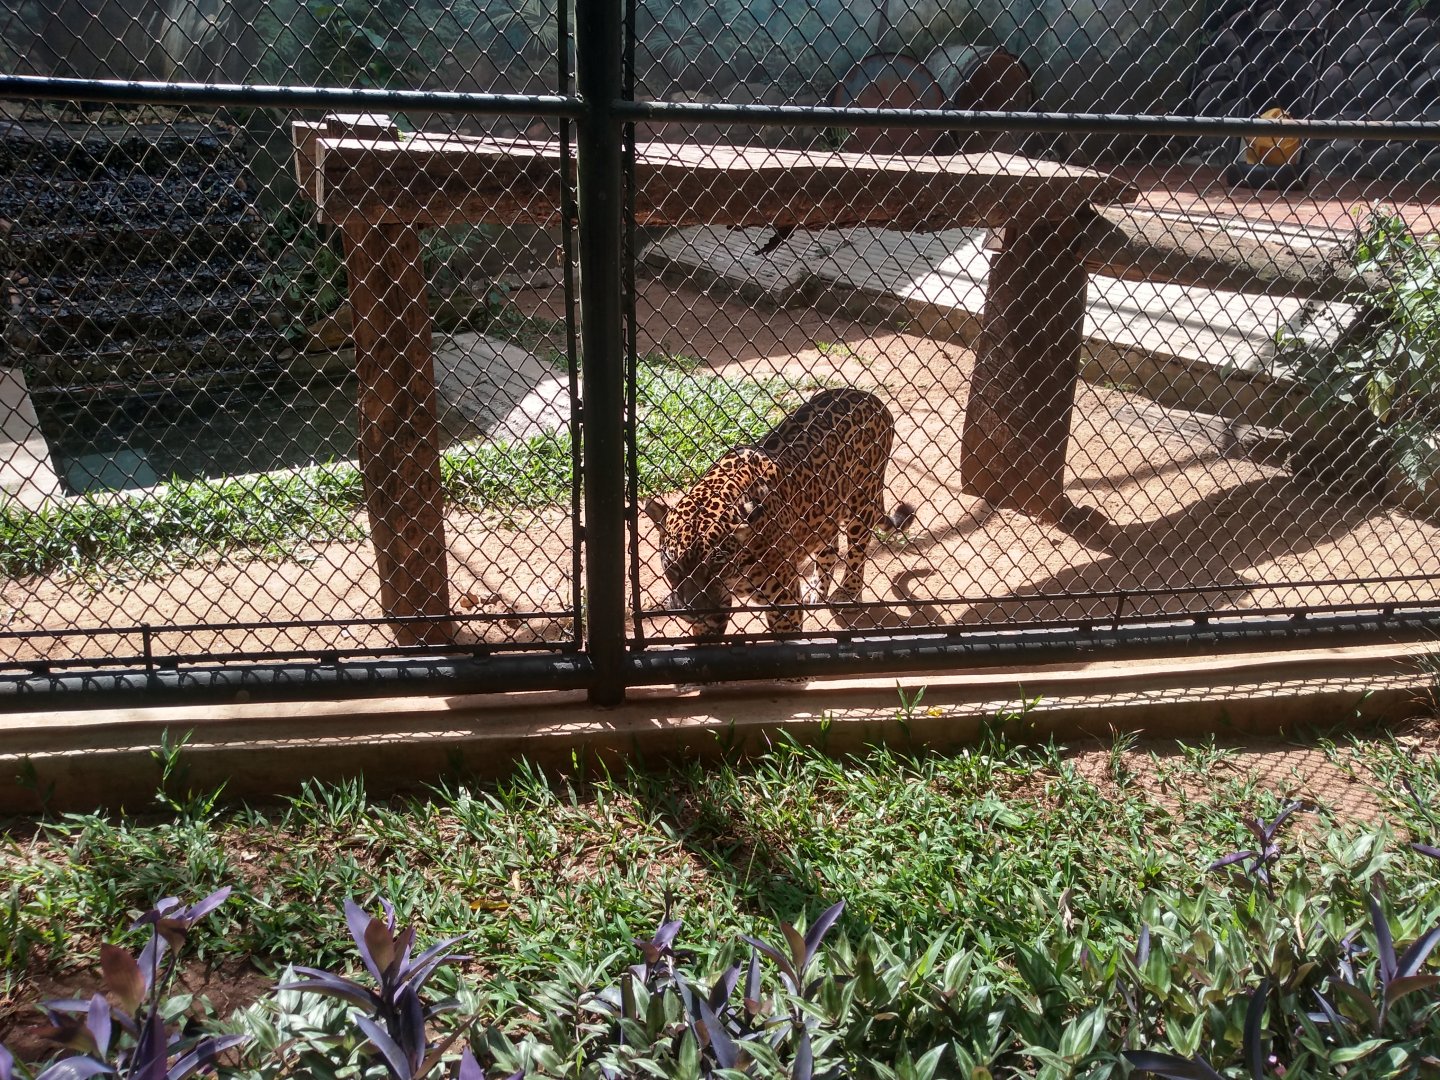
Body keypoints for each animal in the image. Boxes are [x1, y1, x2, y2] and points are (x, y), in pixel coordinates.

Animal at [644, 387, 914, 637]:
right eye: (672, 566)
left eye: (716, 566)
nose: (692, 610)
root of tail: (871, 397)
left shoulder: (784, 604)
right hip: (826, 509)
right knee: (829, 545)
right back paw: (817, 589)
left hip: (863, 499)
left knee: (857, 552)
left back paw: (847, 593)